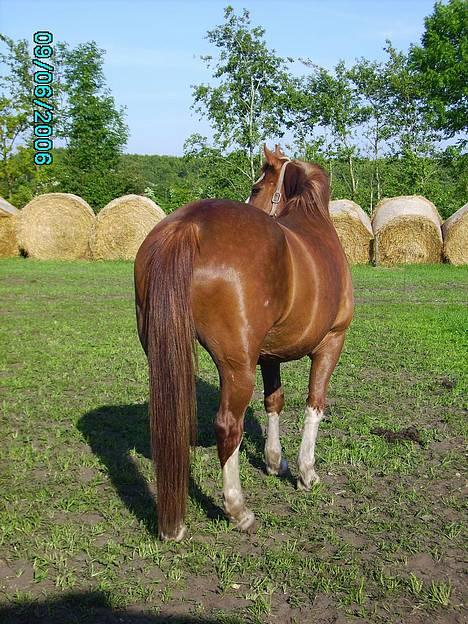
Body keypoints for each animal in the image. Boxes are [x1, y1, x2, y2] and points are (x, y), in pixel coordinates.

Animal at [133, 146, 352, 540]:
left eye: (256, 187)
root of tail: (187, 224)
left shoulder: (269, 355)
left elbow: (274, 402)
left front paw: (275, 461)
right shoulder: (331, 342)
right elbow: (314, 404)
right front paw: (306, 472)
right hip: (237, 367)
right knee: (227, 426)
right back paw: (238, 509)